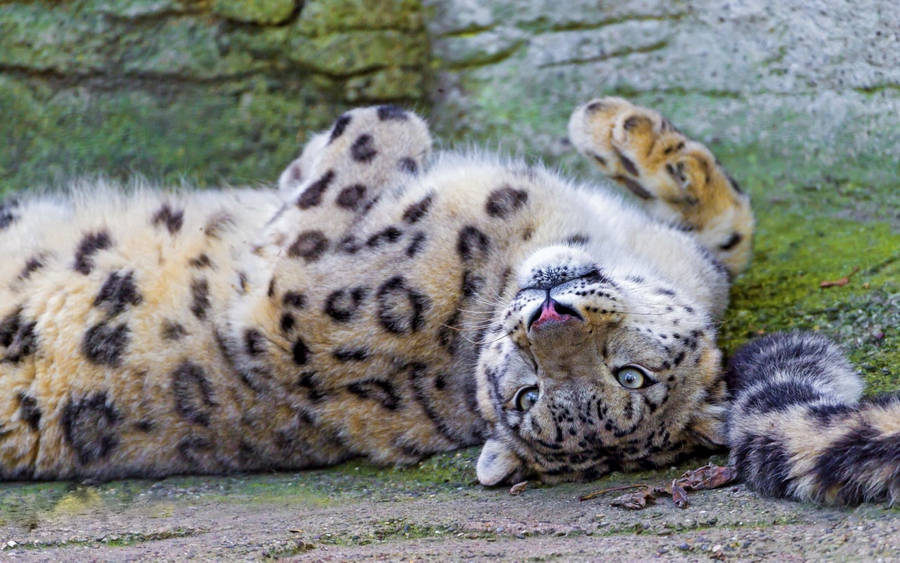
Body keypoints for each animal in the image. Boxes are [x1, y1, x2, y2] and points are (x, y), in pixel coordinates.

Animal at [1, 98, 896, 506]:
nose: (548, 313)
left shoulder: (283, 300)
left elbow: (356, 164)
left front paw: (364, 129)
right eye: (528, 393)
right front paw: (629, 135)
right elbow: (733, 233)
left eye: (627, 378)